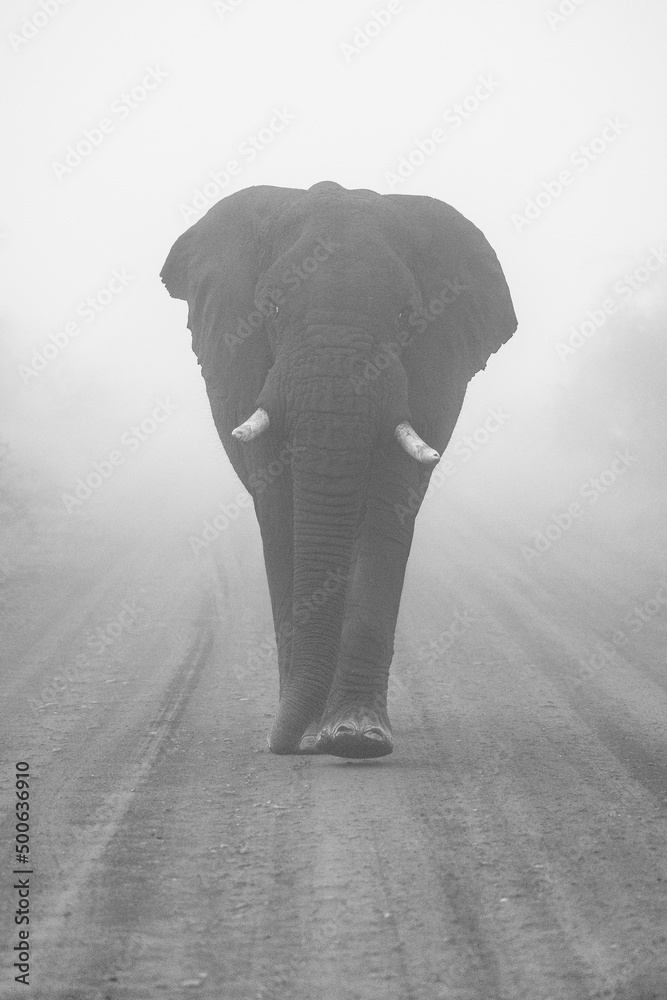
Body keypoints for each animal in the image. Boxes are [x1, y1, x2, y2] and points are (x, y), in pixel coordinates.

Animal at [161, 181, 516, 758]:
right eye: (270, 306)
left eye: (406, 317)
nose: (280, 744)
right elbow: (280, 510)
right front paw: (311, 734)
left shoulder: (432, 366)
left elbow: (390, 507)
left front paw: (357, 738)